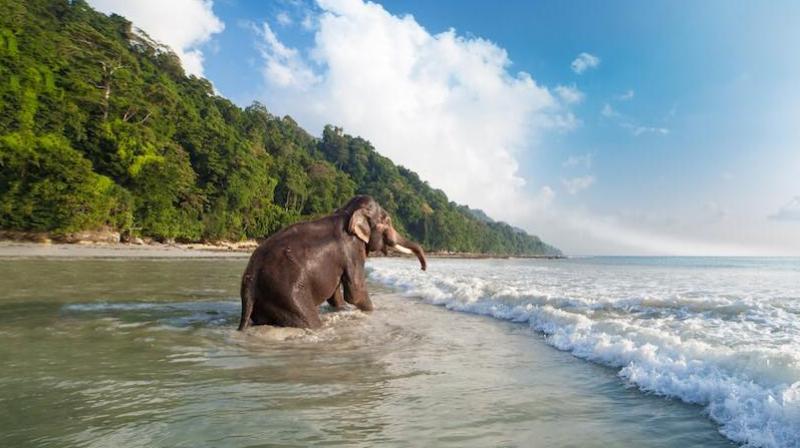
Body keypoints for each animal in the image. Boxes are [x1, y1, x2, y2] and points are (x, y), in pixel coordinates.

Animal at [236, 195, 428, 328]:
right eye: (387, 221)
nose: (423, 269)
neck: (346, 212)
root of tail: (250, 281)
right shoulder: (352, 250)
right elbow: (355, 293)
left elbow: (336, 293)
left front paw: (343, 309)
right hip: (288, 295)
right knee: (310, 321)